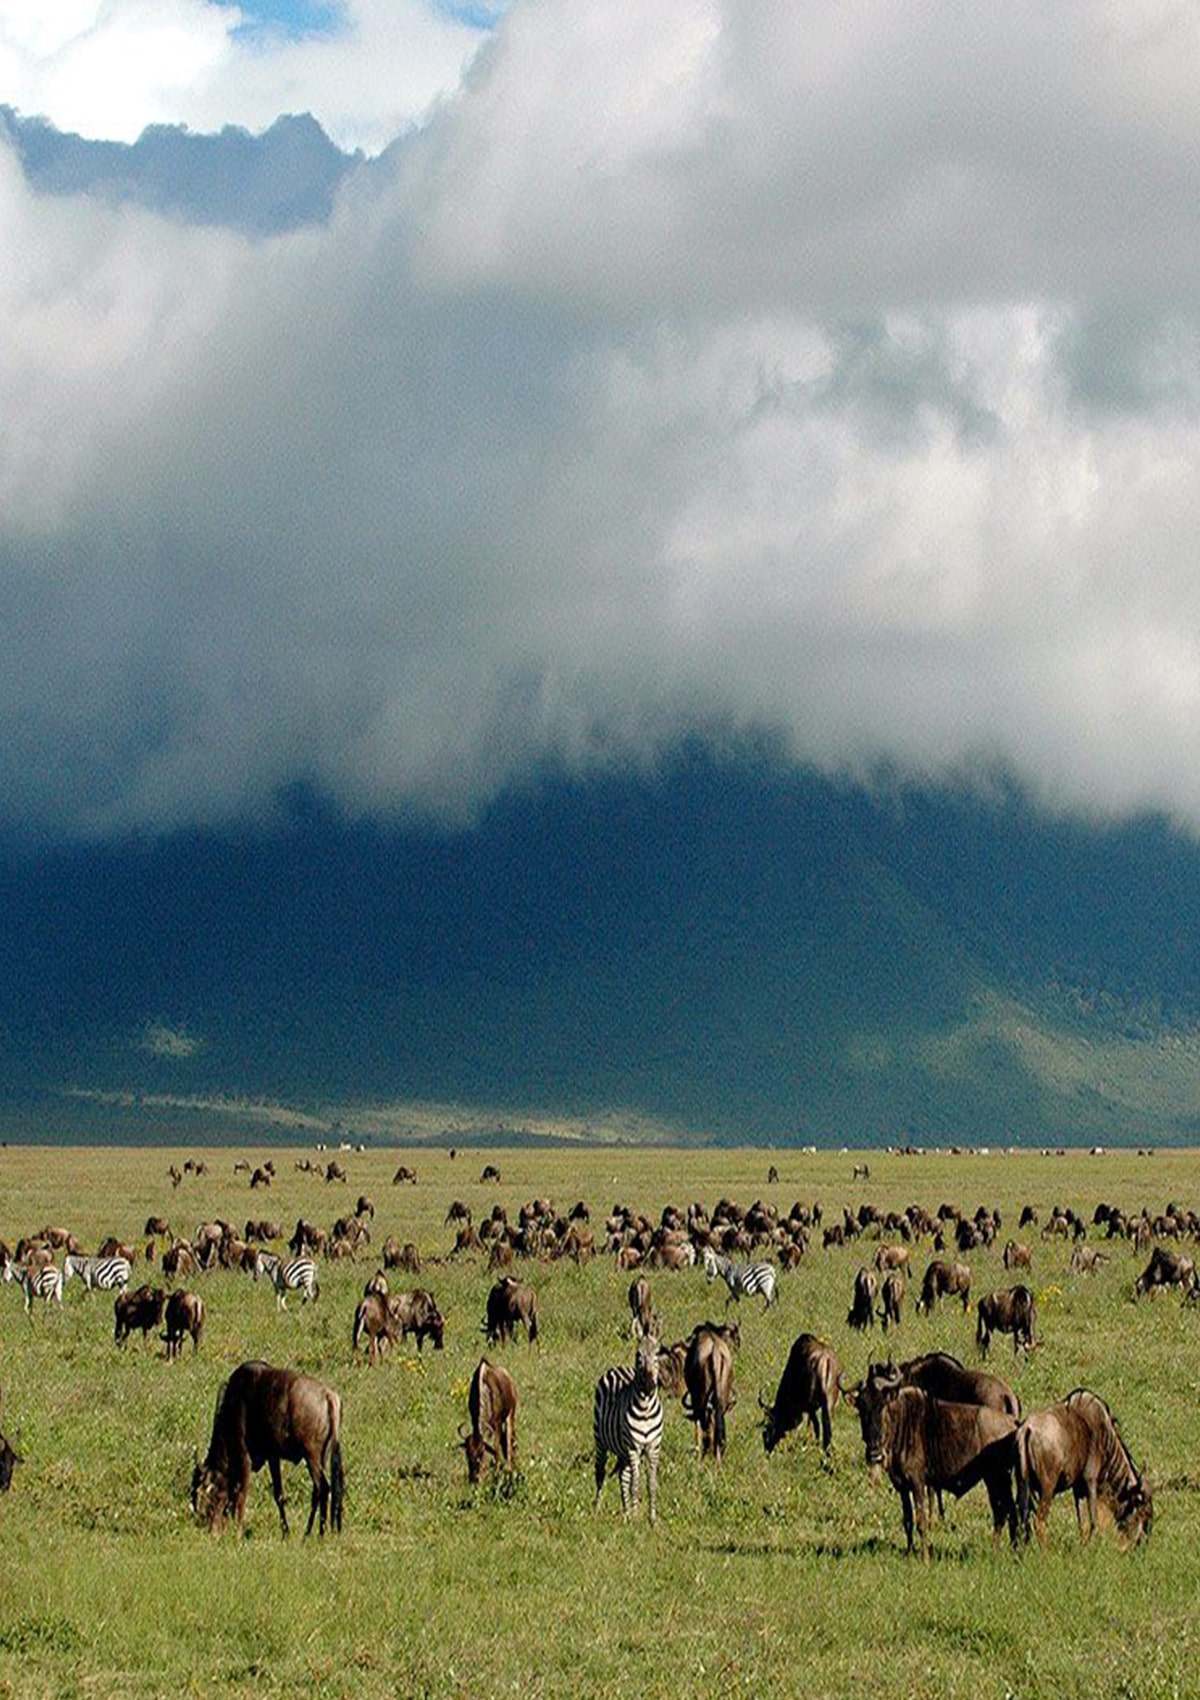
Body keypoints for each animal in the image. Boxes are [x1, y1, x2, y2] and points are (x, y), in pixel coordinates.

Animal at [591, 1332, 662, 1523]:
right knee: (600, 1473)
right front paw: (636, 1518)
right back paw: (598, 1508)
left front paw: (652, 1519)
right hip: (601, 1441)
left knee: (623, 1476)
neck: (645, 1409)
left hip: (622, 1451)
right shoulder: (633, 1448)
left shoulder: (653, 1448)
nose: (649, 1386)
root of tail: (616, 1368)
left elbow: (651, 1484)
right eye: (638, 1355)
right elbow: (635, 1485)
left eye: (657, 1354)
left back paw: (626, 1513)